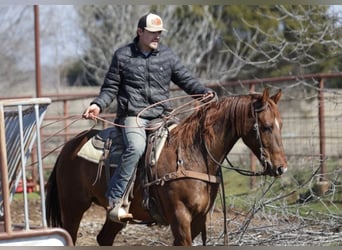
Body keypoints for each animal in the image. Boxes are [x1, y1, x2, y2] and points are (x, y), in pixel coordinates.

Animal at [44, 88, 286, 246]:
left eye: (280, 125)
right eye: (265, 126)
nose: (281, 168)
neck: (191, 155)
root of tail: (69, 146)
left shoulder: (198, 220)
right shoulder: (180, 217)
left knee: (104, 238)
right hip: (73, 207)